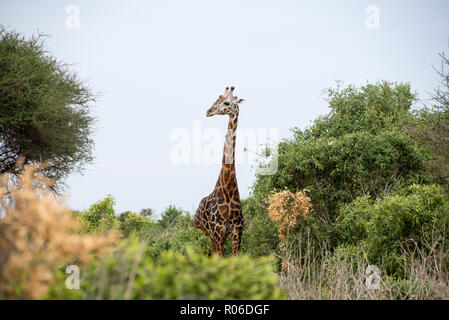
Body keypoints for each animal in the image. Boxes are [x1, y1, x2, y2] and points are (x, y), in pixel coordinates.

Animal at [193, 86, 245, 256]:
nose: (208, 111)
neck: (229, 187)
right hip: (207, 234)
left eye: (226, 102)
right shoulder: (217, 231)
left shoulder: (237, 231)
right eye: (216, 100)